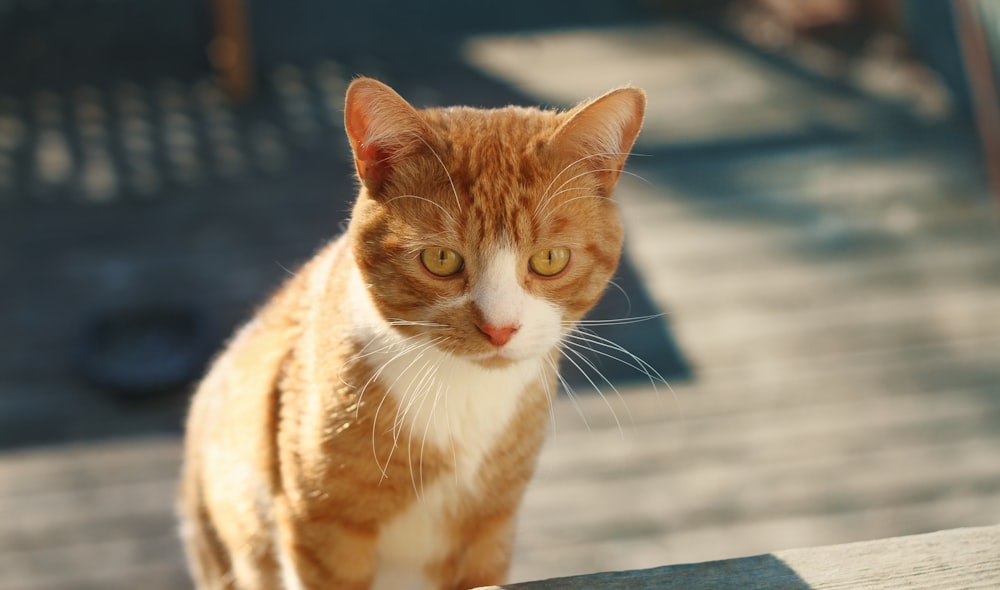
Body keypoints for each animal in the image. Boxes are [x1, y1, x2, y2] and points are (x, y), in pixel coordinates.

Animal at [178, 78, 648, 590]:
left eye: (549, 259)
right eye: (441, 260)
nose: (499, 328)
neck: (463, 394)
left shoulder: (490, 528)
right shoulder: (321, 530)